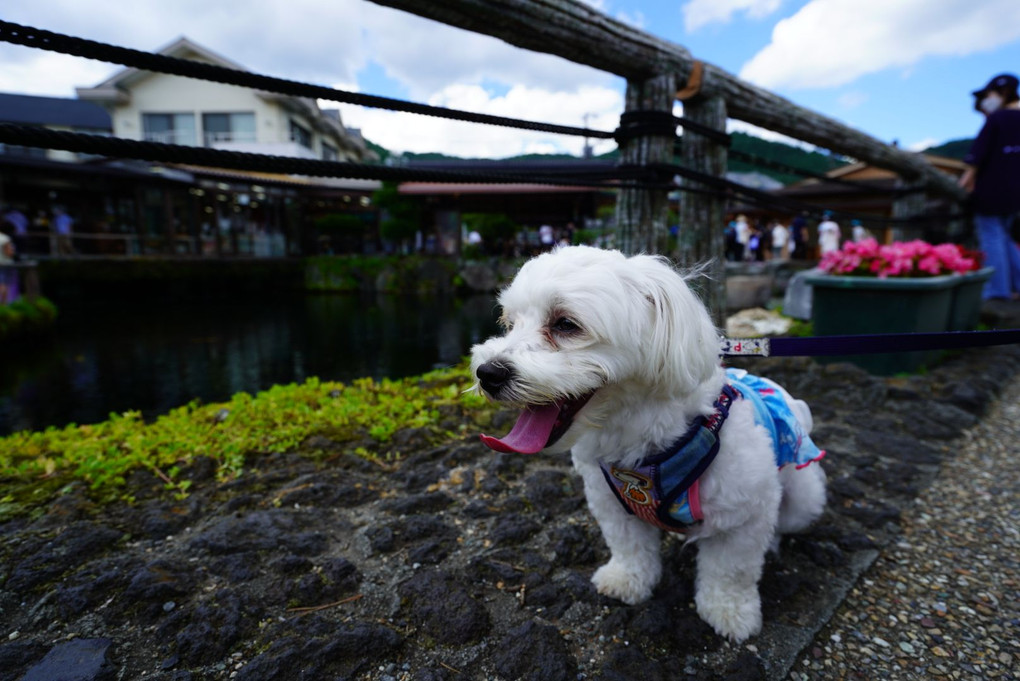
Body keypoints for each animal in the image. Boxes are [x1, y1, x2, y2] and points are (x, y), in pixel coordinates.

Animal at [469, 247, 828, 640]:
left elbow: (731, 570)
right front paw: (627, 580)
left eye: (565, 324)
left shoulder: (743, 516)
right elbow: (630, 546)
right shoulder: (611, 503)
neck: (640, 441)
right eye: (509, 322)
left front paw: (730, 612)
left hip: (803, 499)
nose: (487, 373)